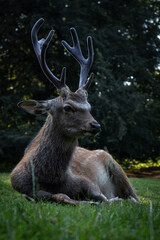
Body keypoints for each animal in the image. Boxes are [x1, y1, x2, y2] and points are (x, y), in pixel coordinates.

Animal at [10, 18, 140, 205]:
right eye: (68, 107)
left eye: (89, 107)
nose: (95, 125)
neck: (51, 179)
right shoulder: (23, 189)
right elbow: (57, 196)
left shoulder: (88, 181)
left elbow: (102, 197)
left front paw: (103, 201)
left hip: (116, 166)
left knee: (136, 197)